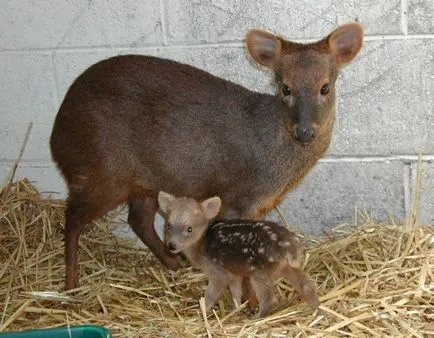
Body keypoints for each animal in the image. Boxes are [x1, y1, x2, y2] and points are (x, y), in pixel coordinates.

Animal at [50, 23, 362, 290]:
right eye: (285, 88)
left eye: (325, 87)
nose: (305, 131)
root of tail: (56, 136)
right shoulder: (238, 200)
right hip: (102, 172)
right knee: (72, 216)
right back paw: (71, 283)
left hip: (144, 181)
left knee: (138, 220)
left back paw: (174, 265)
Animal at [157, 191, 318, 318]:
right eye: (168, 225)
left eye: (189, 228)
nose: (171, 245)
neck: (200, 247)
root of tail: (289, 245)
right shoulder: (234, 274)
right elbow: (236, 292)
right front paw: (235, 309)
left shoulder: (217, 272)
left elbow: (212, 294)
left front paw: (201, 312)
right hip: (284, 267)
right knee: (307, 285)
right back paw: (317, 309)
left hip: (260, 272)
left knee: (269, 297)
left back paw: (257, 317)